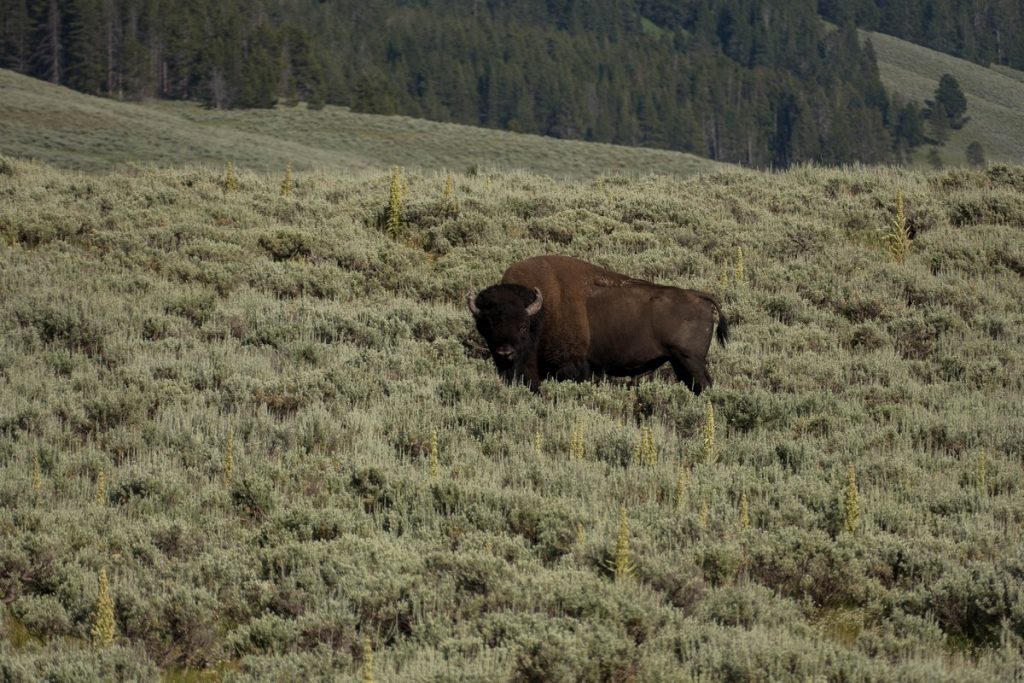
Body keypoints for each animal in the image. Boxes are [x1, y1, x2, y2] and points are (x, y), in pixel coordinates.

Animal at [468, 255, 729, 395]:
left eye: (523, 325)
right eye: (487, 326)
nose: (505, 353)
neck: (541, 313)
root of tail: (700, 297)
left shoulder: (573, 369)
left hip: (690, 360)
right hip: (680, 363)